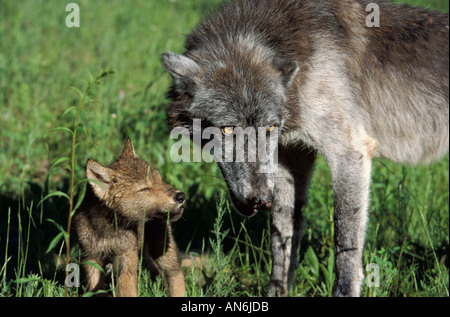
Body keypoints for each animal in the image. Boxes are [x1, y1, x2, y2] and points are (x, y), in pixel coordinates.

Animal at [161, 0, 446, 296]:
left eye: (270, 128)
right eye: (228, 129)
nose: (261, 200)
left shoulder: (350, 152)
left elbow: (345, 245)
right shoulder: (291, 156)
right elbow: (282, 238)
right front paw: (276, 292)